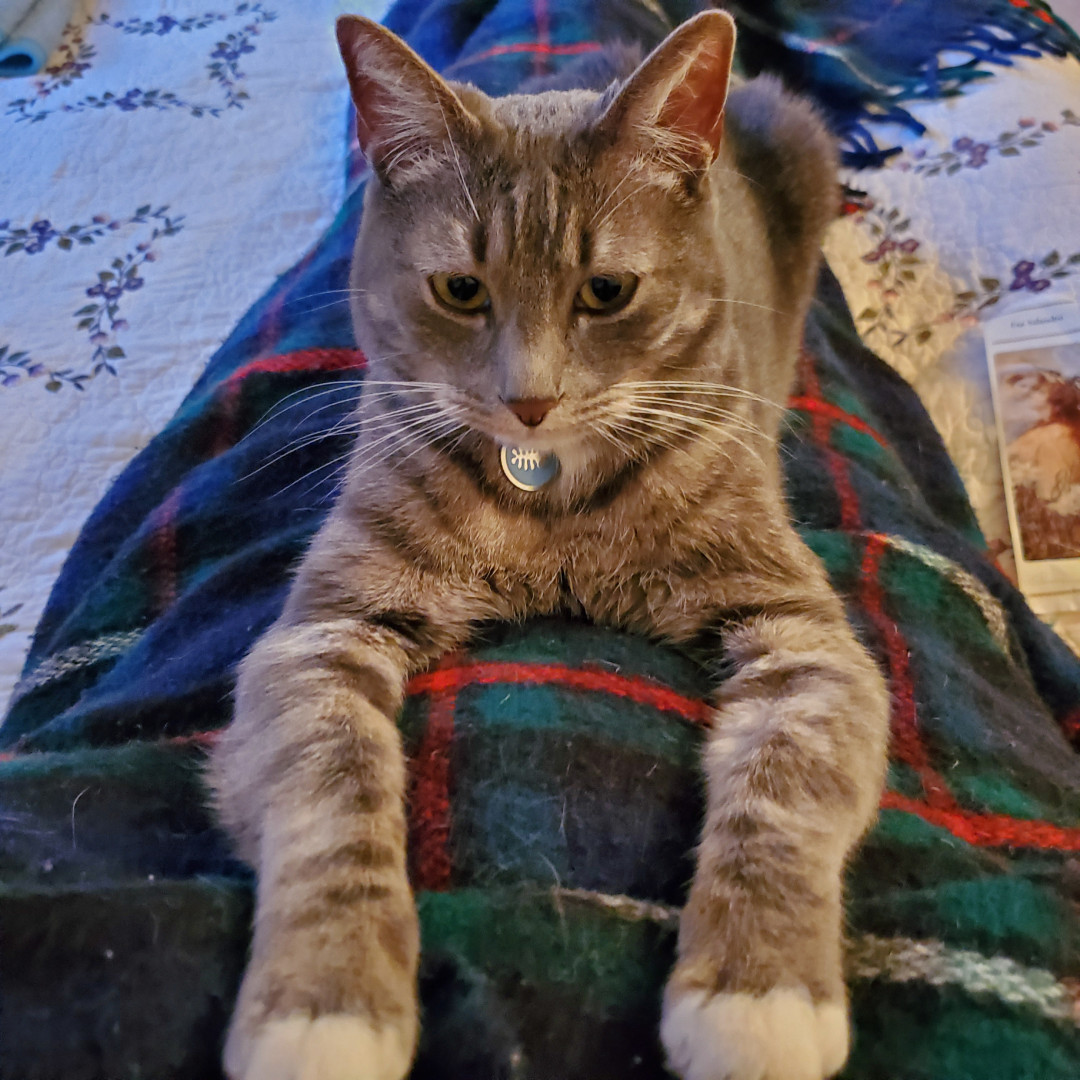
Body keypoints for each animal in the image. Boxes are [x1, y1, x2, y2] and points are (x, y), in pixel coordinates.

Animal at [210, 10, 889, 1080]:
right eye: (459, 289)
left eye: (607, 291)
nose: (528, 400)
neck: (547, 495)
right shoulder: (326, 629)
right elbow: (331, 790)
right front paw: (325, 1002)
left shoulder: (802, 632)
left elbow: (783, 786)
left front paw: (756, 992)